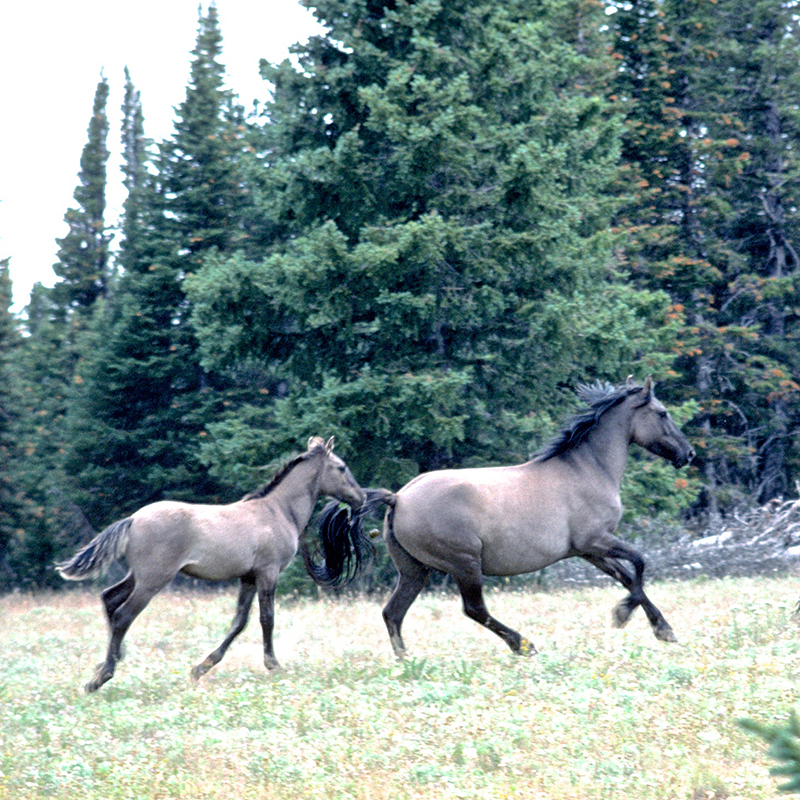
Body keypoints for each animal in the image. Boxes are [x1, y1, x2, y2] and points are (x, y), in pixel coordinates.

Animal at [57, 434, 366, 692]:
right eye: (341, 467)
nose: (361, 497)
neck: (278, 511)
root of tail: (133, 519)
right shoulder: (268, 572)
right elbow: (267, 618)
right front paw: (273, 664)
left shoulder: (248, 576)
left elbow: (239, 621)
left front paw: (201, 668)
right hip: (153, 579)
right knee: (123, 614)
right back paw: (100, 678)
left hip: (138, 575)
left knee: (109, 598)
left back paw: (111, 659)